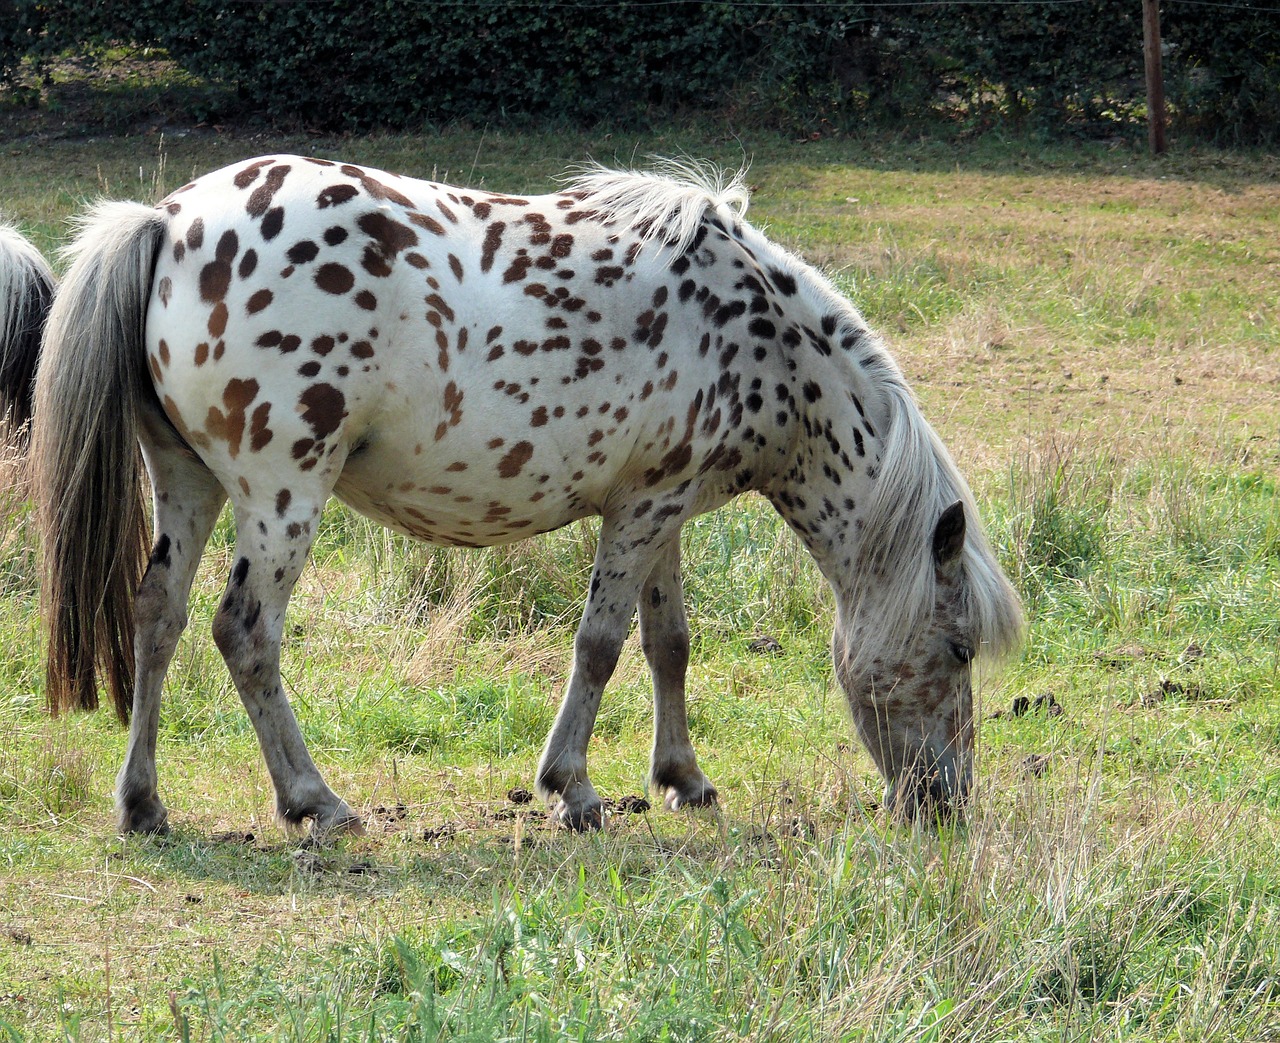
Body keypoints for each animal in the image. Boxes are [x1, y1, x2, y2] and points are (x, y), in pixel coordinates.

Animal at [30, 156, 1024, 839]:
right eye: (959, 647)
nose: (946, 801)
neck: (762, 338)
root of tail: (166, 220)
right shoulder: (640, 513)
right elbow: (600, 647)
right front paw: (573, 788)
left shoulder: (659, 509)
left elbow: (669, 643)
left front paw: (683, 778)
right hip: (283, 493)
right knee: (244, 633)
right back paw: (315, 799)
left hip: (187, 483)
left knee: (156, 615)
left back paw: (143, 802)